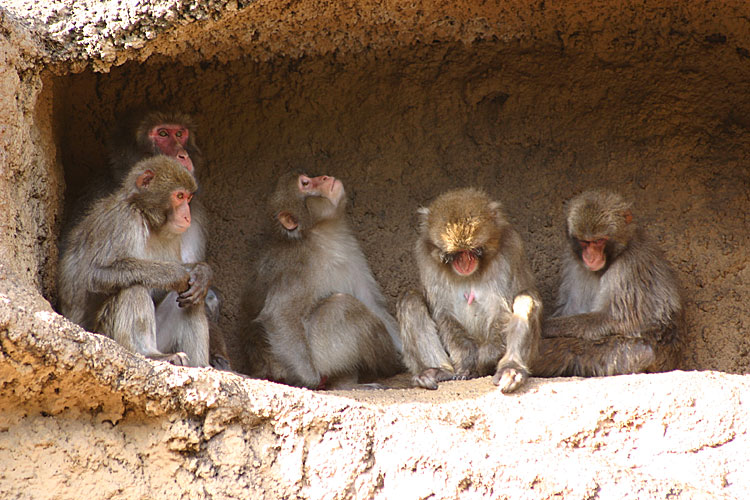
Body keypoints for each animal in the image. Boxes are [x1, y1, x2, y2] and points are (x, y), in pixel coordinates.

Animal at [57, 156, 212, 368]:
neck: (145, 215)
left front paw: (201, 272)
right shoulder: (123, 220)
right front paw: (175, 274)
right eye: (179, 196)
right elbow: (94, 274)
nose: (187, 216)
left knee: (190, 298)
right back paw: (149, 354)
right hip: (106, 333)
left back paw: (200, 366)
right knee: (133, 286)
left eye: (188, 199)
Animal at [254, 172, 406, 390]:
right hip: (319, 353)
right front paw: (307, 380)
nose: (324, 177)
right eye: (305, 183)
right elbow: (279, 314)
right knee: (343, 306)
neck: (323, 235)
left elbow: (373, 305)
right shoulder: (298, 265)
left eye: (309, 177)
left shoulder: (353, 254)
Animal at [396, 188, 544, 394]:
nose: (464, 263)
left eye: (474, 251)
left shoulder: (511, 248)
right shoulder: (425, 256)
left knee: (526, 297)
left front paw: (482, 362)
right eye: (454, 254)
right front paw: (466, 362)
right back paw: (438, 371)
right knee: (410, 300)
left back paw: (511, 369)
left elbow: (501, 310)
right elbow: (443, 312)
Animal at [536, 189, 688, 376]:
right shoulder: (574, 263)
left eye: (599, 241)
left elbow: (615, 319)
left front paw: (544, 326)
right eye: (585, 242)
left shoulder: (627, 267)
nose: (590, 257)